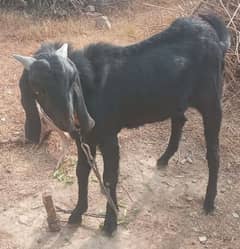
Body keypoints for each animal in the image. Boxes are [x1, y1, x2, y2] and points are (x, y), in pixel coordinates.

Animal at [13, 14, 231, 235]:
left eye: (72, 81)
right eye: (38, 90)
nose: (69, 121)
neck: (91, 87)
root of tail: (211, 31)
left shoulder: (108, 135)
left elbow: (109, 176)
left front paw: (110, 222)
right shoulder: (85, 138)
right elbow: (82, 171)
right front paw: (77, 213)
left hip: (212, 101)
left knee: (213, 152)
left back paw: (209, 201)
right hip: (177, 100)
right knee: (180, 120)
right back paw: (164, 158)